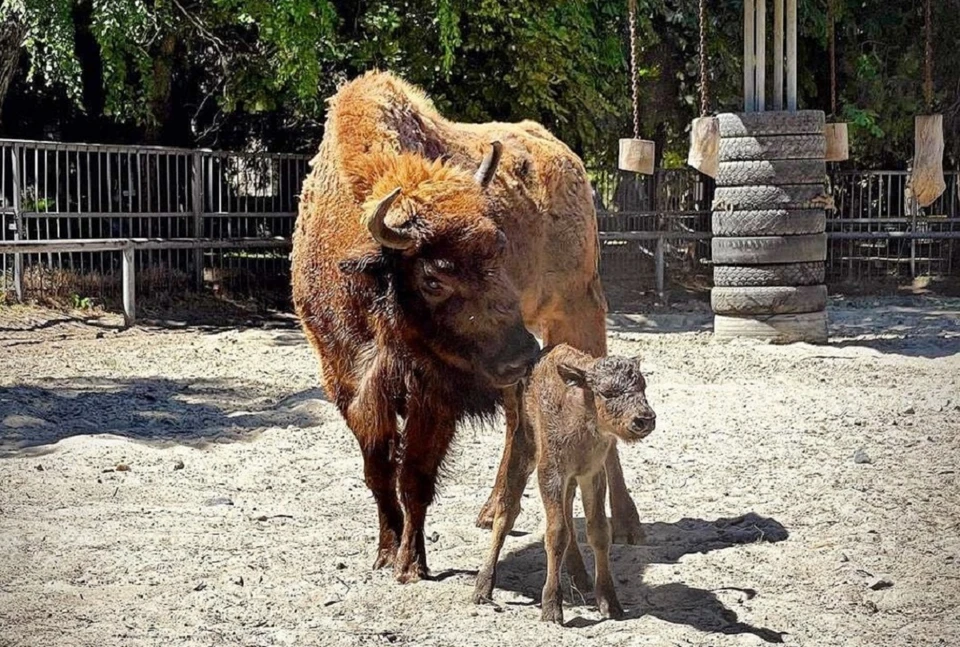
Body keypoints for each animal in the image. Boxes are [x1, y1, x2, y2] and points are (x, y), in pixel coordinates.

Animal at [288, 71, 640, 584]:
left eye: (500, 247)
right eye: (433, 277)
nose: (520, 354)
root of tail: (566, 156)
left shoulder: (434, 394)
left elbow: (414, 474)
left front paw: (410, 563)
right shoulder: (347, 384)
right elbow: (378, 471)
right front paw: (386, 550)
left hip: (578, 312)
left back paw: (629, 524)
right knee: (518, 421)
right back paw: (493, 511)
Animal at [474, 346, 656, 624]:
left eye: (643, 386)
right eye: (606, 392)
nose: (645, 419)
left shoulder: (591, 474)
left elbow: (598, 532)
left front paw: (610, 604)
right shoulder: (551, 473)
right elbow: (556, 532)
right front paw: (551, 608)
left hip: (569, 481)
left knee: (568, 515)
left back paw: (581, 580)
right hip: (524, 450)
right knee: (507, 513)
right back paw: (482, 588)